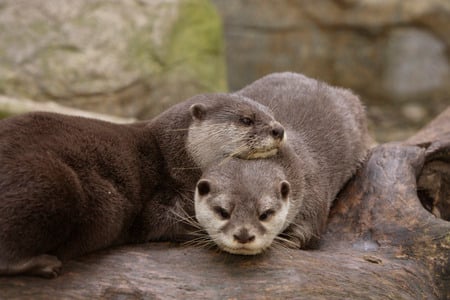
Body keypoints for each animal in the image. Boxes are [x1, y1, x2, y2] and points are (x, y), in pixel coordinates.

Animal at [0, 92, 284, 278]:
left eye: (272, 115)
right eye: (246, 120)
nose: (279, 129)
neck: (172, 156)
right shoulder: (163, 196)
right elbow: (169, 222)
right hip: (55, 184)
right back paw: (44, 264)